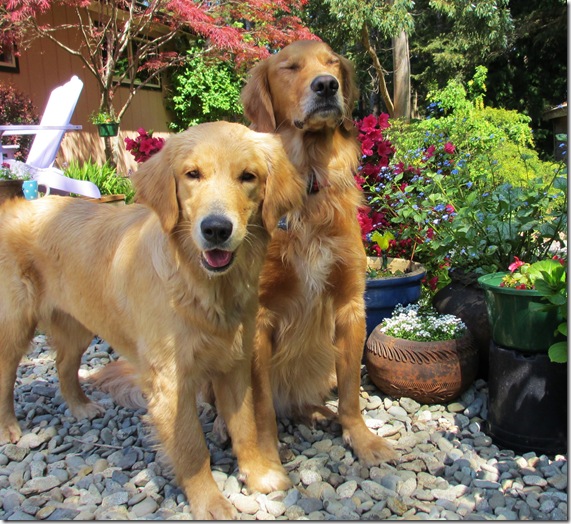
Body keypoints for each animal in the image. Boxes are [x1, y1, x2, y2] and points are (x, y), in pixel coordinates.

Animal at [0, 121, 305, 520]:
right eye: (192, 174)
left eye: (248, 176)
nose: (216, 229)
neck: (201, 286)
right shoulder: (170, 382)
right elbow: (191, 448)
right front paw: (209, 503)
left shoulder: (234, 363)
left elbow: (246, 427)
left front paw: (259, 475)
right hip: (15, 326)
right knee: (5, 377)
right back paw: (9, 429)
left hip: (77, 324)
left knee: (63, 366)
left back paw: (81, 406)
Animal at [241, 40, 397, 467]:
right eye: (290, 67)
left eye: (331, 63)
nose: (327, 85)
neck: (308, 175)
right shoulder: (257, 317)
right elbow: (260, 405)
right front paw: (266, 453)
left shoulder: (349, 305)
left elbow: (350, 391)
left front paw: (360, 437)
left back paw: (314, 412)